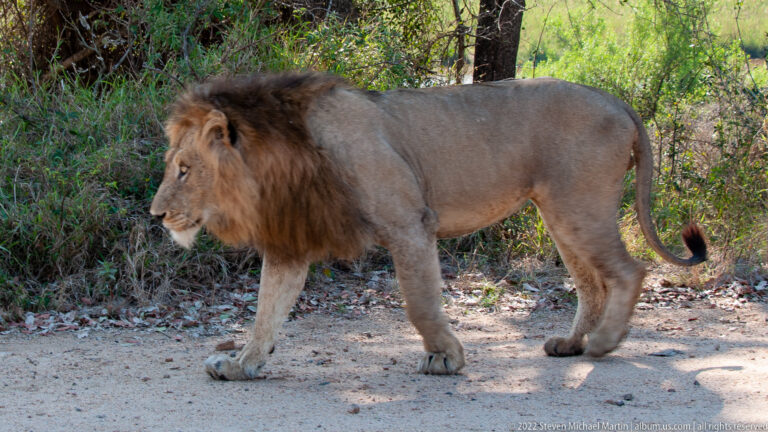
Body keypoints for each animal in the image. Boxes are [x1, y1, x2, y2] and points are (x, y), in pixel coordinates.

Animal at [149, 73, 706, 380]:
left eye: (184, 170)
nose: (156, 215)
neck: (282, 159)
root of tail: (615, 101)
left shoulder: (409, 222)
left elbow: (419, 302)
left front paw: (446, 358)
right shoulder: (291, 243)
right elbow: (267, 312)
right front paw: (241, 364)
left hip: (581, 205)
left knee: (629, 271)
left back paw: (604, 343)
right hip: (559, 214)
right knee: (592, 283)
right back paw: (571, 345)